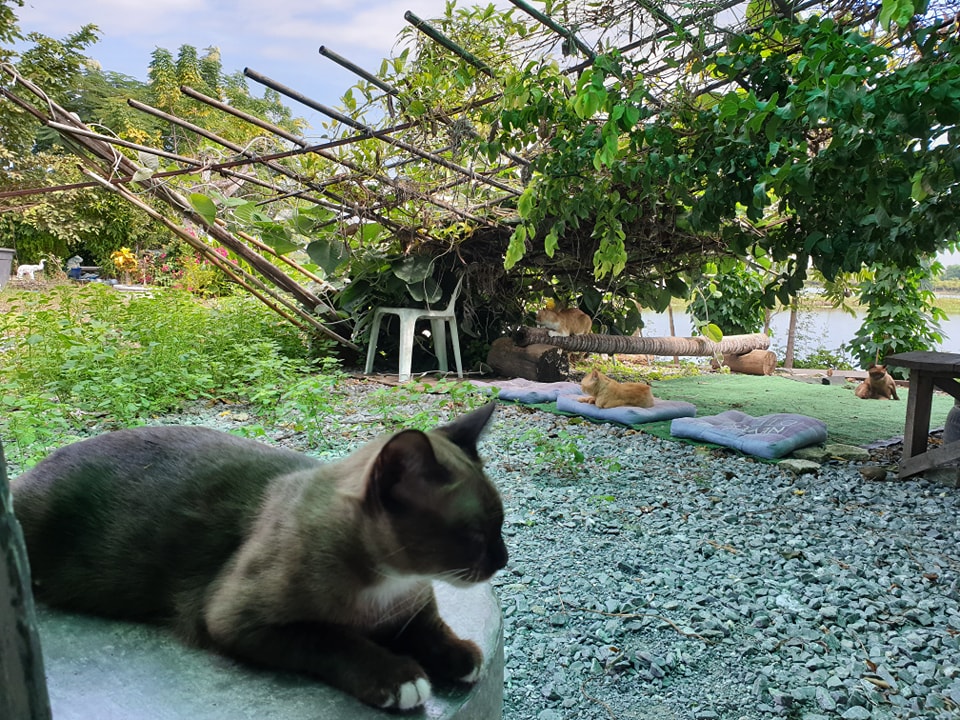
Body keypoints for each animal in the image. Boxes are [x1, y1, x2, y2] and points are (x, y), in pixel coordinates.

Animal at [12, 402, 507, 710]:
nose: (502, 560)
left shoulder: (413, 602)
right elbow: (333, 638)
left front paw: (460, 657)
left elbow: (430, 626)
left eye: (500, 523)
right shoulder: (237, 620)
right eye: (475, 533)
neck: (387, 583)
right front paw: (399, 678)